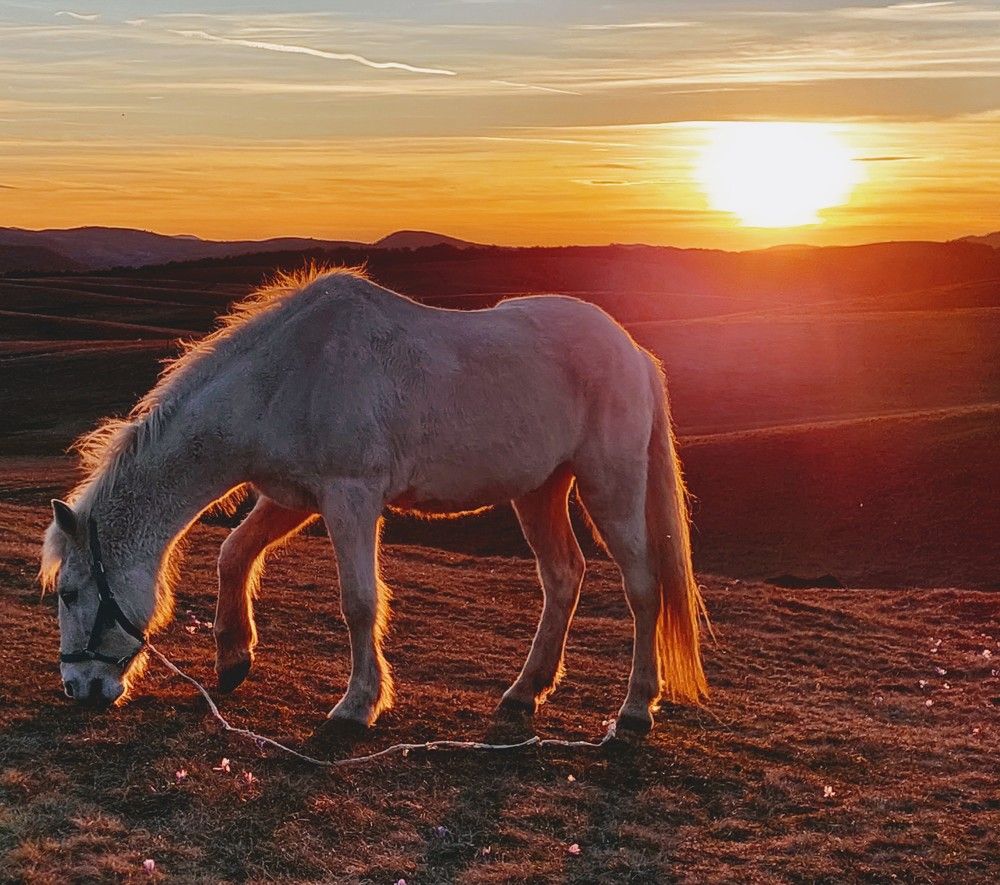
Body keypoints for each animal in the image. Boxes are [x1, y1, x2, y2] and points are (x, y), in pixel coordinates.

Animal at [40, 267, 708, 735]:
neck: (285, 376)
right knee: (564, 577)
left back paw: (635, 710)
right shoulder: (294, 498)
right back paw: (524, 694)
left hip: (608, 485)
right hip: (539, 490)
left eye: (70, 592)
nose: (78, 688)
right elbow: (234, 554)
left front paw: (358, 705)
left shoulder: (351, 499)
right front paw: (233, 658)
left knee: (643, 585)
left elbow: (359, 602)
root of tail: (633, 352)